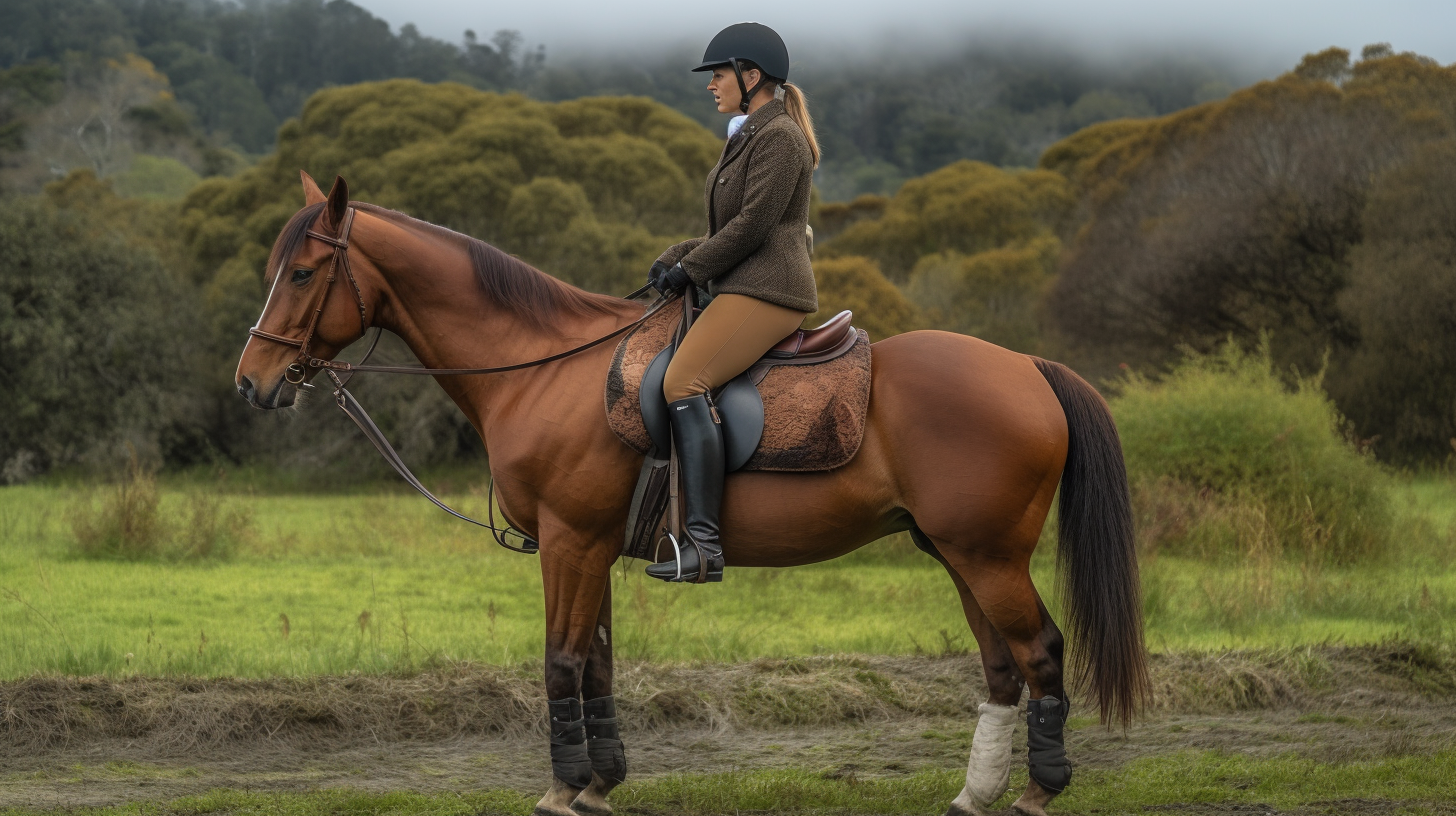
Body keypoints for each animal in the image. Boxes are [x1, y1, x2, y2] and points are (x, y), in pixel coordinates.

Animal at [238, 171, 1147, 816]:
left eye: (305, 272)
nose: (253, 383)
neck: (544, 369)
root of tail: (1027, 366)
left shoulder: (569, 542)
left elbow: (561, 662)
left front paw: (562, 791)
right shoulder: (592, 547)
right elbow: (597, 665)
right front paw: (599, 784)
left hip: (988, 555)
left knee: (1041, 652)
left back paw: (1037, 793)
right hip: (957, 552)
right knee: (1002, 667)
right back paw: (976, 795)